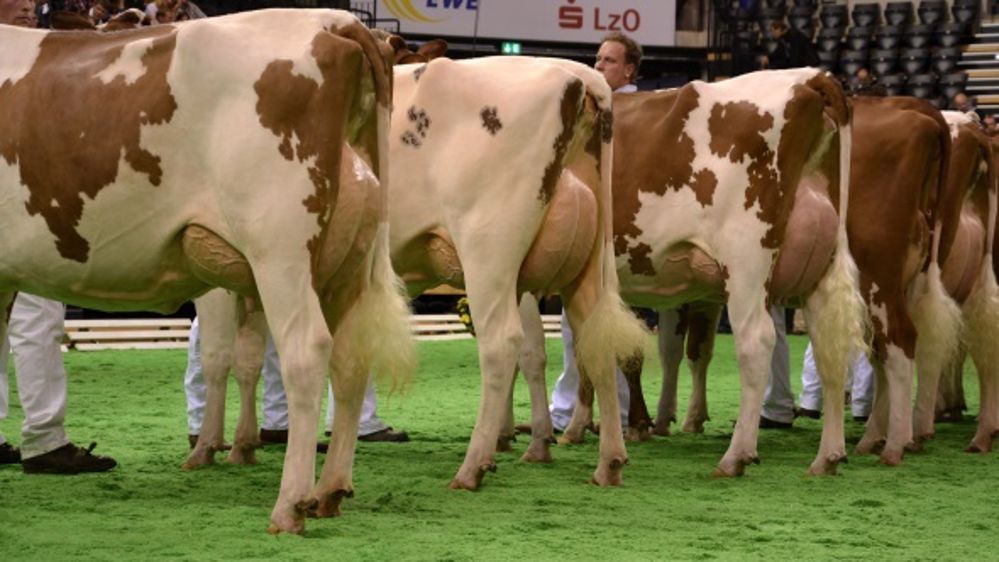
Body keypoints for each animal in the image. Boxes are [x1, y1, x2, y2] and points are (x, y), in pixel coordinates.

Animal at [0, 9, 414, 535]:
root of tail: (333, 21)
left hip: (279, 249)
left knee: (307, 352)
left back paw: (290, 505)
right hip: (347, 263)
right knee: (350, 360)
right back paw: (330, 491)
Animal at [517, 68, 867, 476]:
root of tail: (811, 77)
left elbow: (532, 354)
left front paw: (538, 440)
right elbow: (590, 352)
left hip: (746, 264)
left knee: (757, 342)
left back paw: (736, 455)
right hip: (819, 270)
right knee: (831, 346)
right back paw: (828, 455)